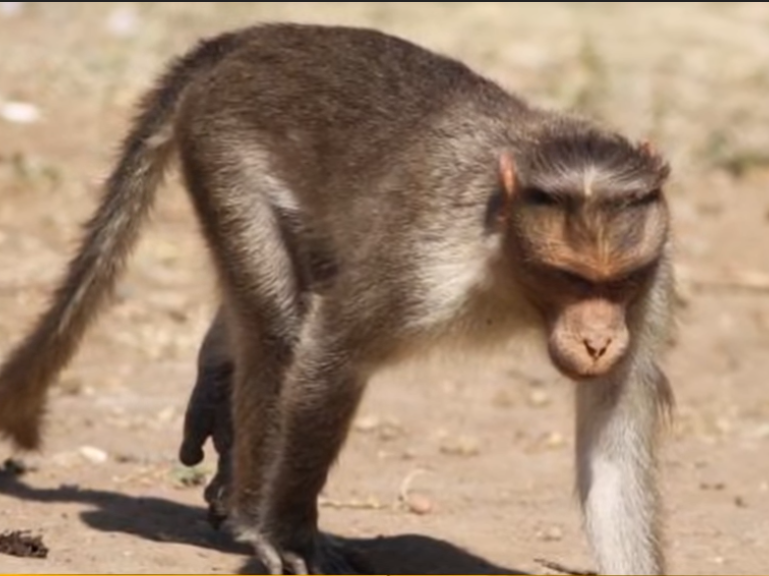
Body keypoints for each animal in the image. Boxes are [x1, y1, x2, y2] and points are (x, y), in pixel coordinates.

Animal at [0, 22, 676, 575]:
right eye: (570, 279)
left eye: (616, 282)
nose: (597, 340)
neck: (504, 251)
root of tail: (250, 38)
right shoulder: (423, 263)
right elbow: (333, 350)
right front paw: (288, 535)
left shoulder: (650, 289)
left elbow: (612, 441)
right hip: (223, 149)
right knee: (277, 330)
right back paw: (249, 507)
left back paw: (216, 376)